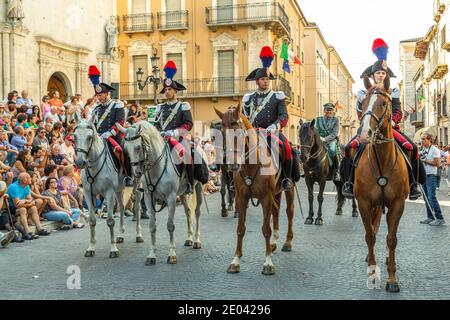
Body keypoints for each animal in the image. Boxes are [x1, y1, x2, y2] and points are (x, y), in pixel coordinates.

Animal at [121, 120, 202, 264]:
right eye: (126, 149)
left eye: (137, 147)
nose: (136, 173)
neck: (157, 168)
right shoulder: (149, 198)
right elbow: (152, 225)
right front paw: (152, 255)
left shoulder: (171, 198)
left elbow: (170, 225)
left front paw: (172, 254)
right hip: (182, 193)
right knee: (188, 212)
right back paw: (189, 239)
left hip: (198, 187)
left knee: (197, 212)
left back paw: (197, 241)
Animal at [214, 105, 296, 276]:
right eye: (222, 133)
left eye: (237, 131)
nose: (231, 164)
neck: (251, 165)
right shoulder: (241, 198)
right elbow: (240, 229)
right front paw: (236, 261)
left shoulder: (265, 198)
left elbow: (266, 229)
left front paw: (268, 263)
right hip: (275, 193)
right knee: (276, 211)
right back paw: (274, 242)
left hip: (287, 189)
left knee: (289, 212)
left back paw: (287, 242)